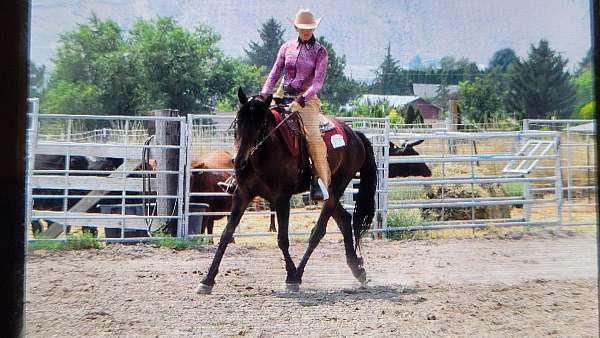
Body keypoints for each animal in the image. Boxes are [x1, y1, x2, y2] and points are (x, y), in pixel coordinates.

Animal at [197, 89, 376, 294]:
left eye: (260, 124)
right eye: (238, 122)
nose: (239, 161)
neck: (262, 155)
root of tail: (355, 135)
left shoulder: (282, 197)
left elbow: (282, 238)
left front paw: (290, 278)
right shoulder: (242, 194)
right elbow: (226, 234)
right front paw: (207, 280)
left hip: (338, 185)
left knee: (318, 232)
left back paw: (298, 274)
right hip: (329, 192)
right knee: (345, 220)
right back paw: (358, 269)